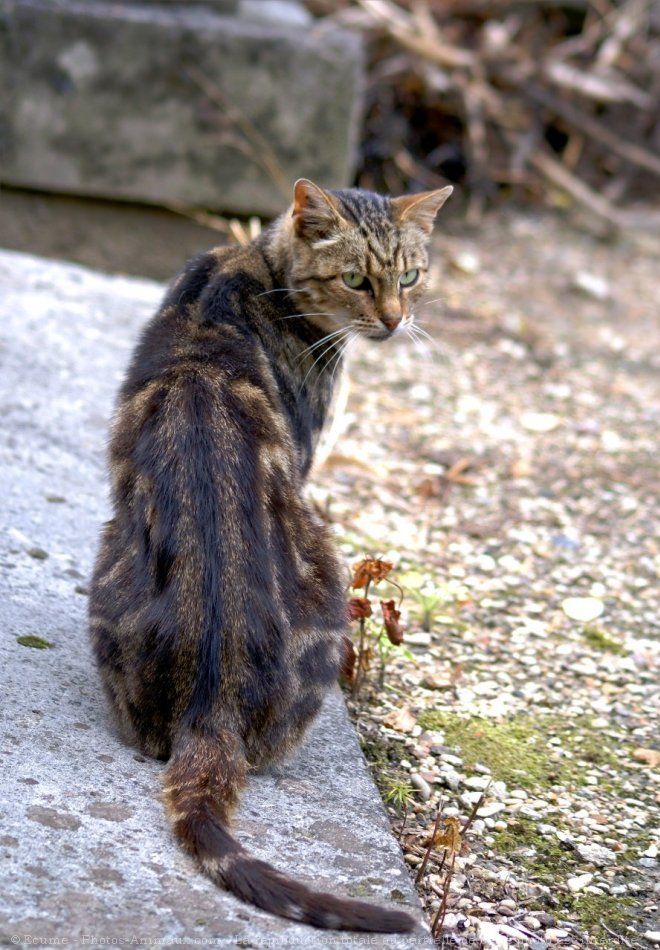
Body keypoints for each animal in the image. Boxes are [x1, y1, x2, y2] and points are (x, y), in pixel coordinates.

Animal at [89, 175, 454, 932]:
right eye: (356, 279)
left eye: (409, 275)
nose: (395, 320)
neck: (252, 265)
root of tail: (212, 703)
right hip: (324, 572)